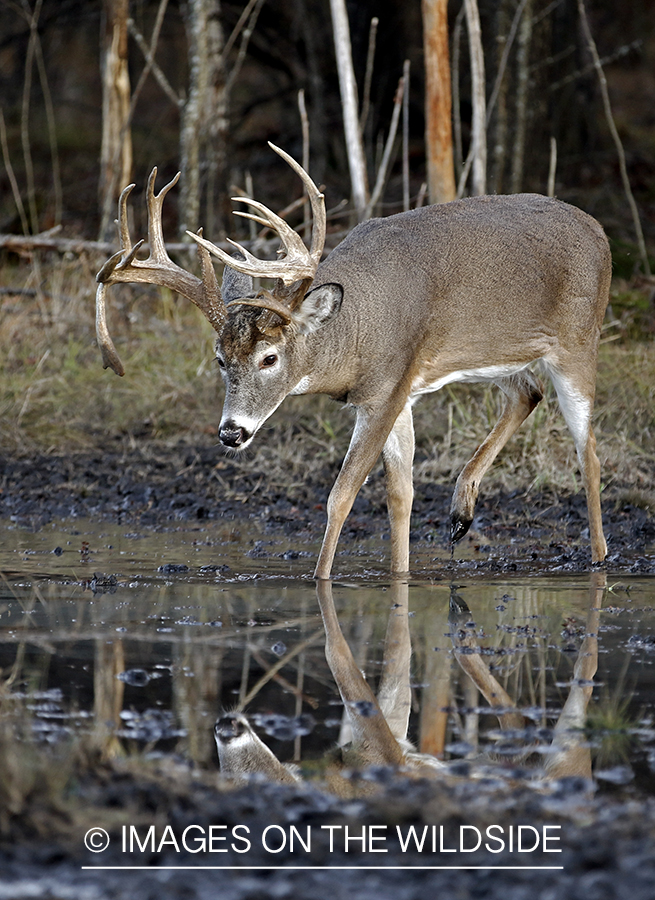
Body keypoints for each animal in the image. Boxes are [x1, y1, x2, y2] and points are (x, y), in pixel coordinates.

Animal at [95, 141, 612, 576]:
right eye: (221, 359)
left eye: (269, 358)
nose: (231, 432)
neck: (356, 330)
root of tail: (599, 230)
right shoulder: (398, 391)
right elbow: (400, 495)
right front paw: (400, 574)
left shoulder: (384, 392)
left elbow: (340, 496)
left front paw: (320, 579)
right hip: (495, 356)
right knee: (528, 392)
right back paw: (461, 512)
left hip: (578, 340)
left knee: (588, 451)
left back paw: (598, 559)